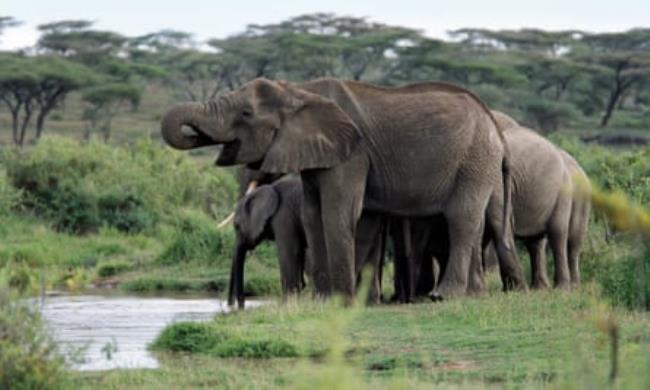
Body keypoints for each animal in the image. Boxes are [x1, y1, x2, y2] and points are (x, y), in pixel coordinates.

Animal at [227, 177, 306, 308]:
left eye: (236, 226)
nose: (233, 306)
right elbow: (300, 252)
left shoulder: (283, 216)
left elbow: (288, 252)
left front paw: (287, 305)